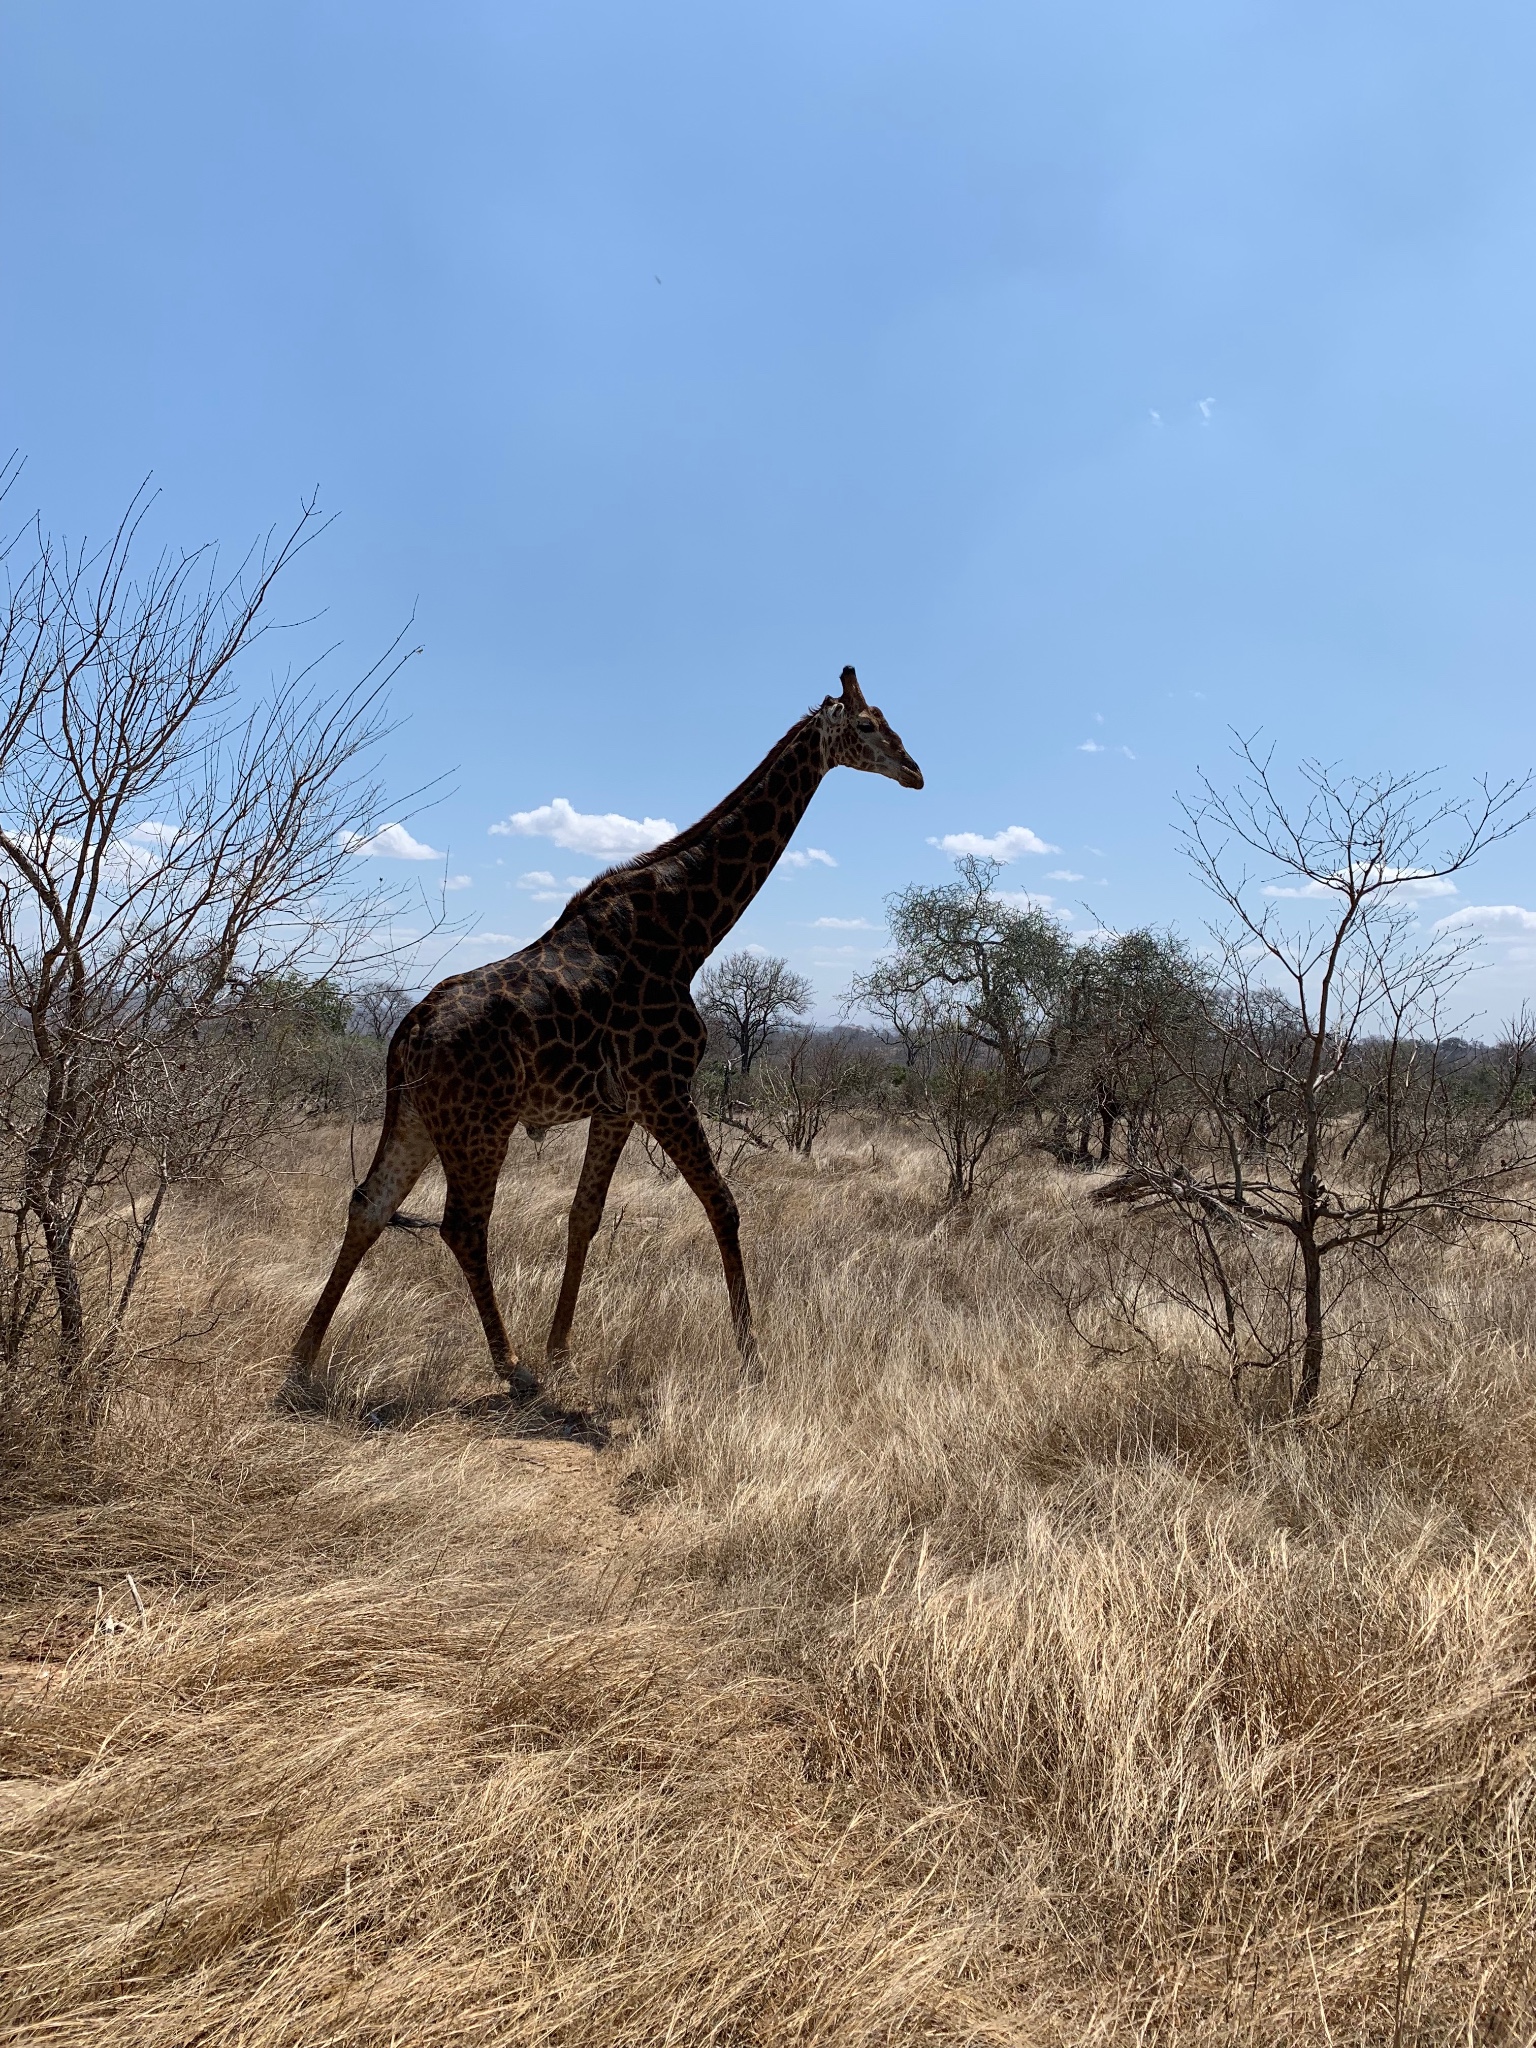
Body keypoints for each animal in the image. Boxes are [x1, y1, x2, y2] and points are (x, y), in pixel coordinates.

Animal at [290, 663, 925, 1400]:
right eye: (868, 725)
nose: (915, 772)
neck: (686, 932)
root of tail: (406, 1034)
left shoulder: (617, 1105)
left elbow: (583, 1215)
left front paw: (563, 1349)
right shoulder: (664, 1087)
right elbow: (724, 1205)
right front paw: (752, 1356)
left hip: (419, 1115)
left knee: (369, 1204)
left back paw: (302, 1361)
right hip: (481, 1124)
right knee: (464, 1226)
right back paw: (511, 1367)